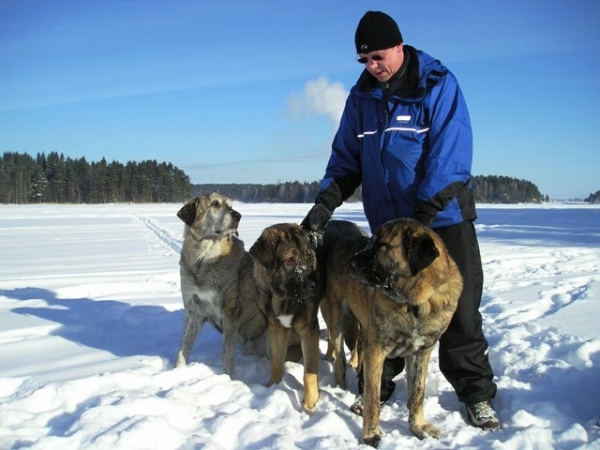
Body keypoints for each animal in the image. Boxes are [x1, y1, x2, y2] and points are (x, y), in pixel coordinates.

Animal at [173, 193, 268, 376]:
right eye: (215, 204)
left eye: (231, 206)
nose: (238, 215)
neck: (203, 261)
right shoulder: (193, 311)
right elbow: (183, 348)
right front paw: (176, 372)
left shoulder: (230, 312)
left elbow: (226, 354)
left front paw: (226, 378)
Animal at [248, 223, 324, 410]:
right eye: (290, 260)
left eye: (309, 257)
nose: (315, 284)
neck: (282, 298)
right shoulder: (276, 329)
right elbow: (275, 362)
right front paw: (272, 388)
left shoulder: (309, 329)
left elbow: (309, 372)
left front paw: (310, 403)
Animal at [326, 219, 462, 446]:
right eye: (371, 241)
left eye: (382, 245)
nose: (350, 264)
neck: (415, 302)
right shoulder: (376, 349)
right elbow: (372, 397)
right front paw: (371, 435)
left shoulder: (422, 351)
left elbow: (417, 393)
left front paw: (418, 426)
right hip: (336, 316)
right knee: (339, 359)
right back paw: (341, 385)